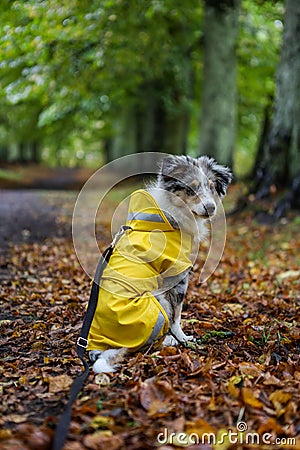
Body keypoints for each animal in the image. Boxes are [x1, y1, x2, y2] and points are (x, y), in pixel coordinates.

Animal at [88, 155, 231, 372]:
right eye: (190, 189)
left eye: (211, 187)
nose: (211, 208)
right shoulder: (177, 276)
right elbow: (176, 316)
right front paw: (183, 339)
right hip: (157, 300)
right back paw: (169, 341)